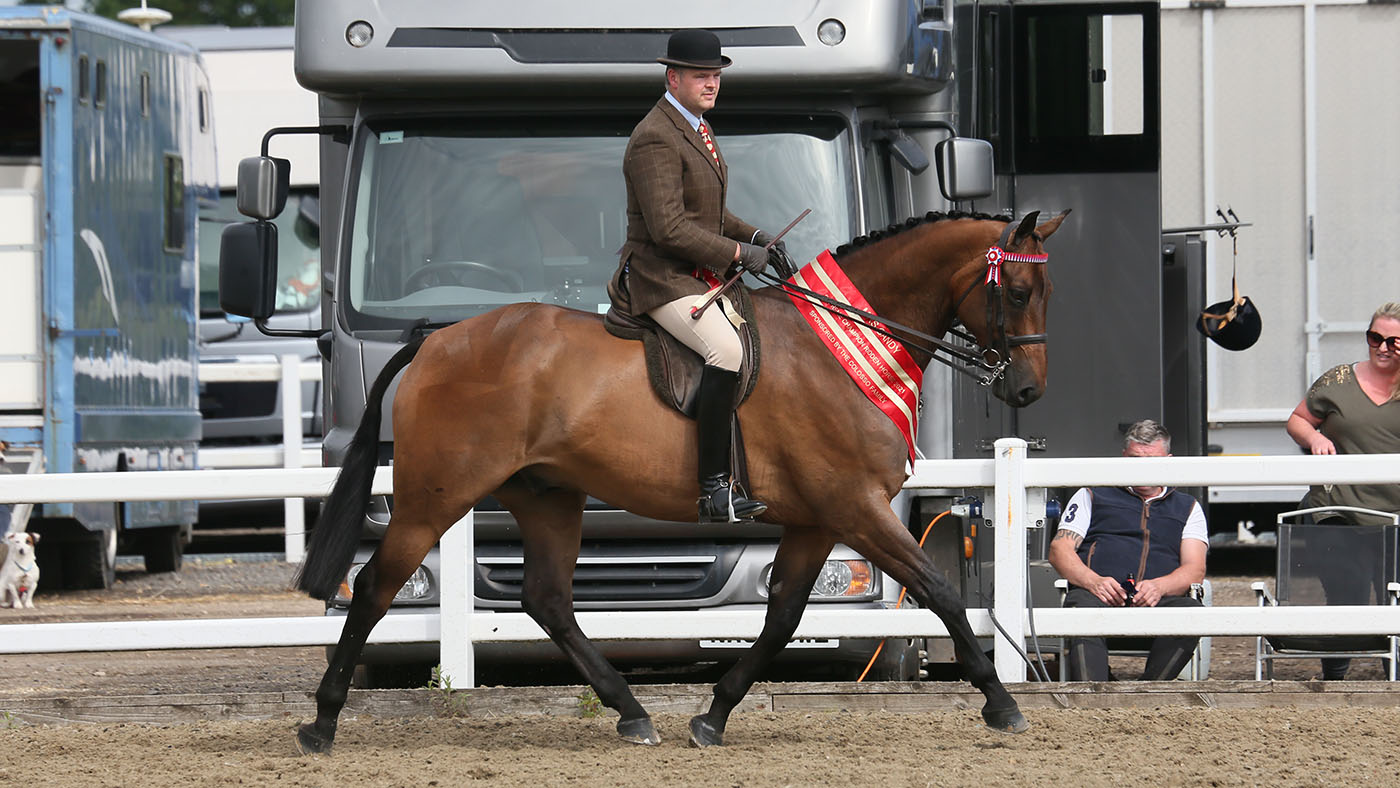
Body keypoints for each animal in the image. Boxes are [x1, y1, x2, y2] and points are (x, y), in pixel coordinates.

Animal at [292, 208, 1070, 753]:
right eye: (1018, 290)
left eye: (1045, 291)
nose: (1029, 391)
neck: (840, 348)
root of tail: (435, 340)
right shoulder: (855, 506)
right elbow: (939, 591)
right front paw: (1002, 704)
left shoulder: (818, 518)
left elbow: (784, 614)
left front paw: (714, 714)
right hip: (436, 496)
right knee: (374, 587)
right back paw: (322, 724)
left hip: (546, 495)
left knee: (548, 600)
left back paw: (633, 714)